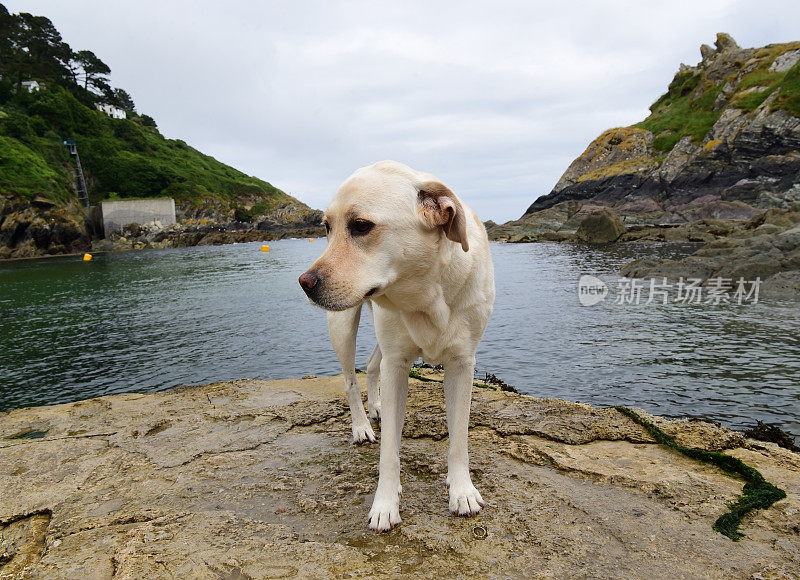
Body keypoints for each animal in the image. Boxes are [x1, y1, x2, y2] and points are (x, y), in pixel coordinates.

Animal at [298, 161, 494, 532]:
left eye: (361, 226)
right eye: (327, 228)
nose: (304, 283)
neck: (425, 294)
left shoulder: (462, 364)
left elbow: (459, 439)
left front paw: (462, 491)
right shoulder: (398, 364)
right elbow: (389, 449)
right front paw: (385, 504)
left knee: (371, 364)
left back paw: (375, 407)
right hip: (343, 327)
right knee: (350, 378)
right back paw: (362, 424)